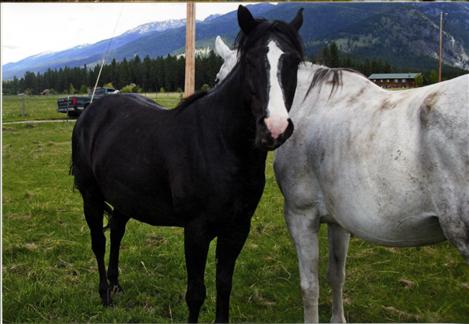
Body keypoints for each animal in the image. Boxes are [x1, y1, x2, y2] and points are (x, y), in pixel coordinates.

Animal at [70, 5, 304, 324]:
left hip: (125, 198)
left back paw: (117, 285)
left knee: (116, 231)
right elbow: (196, 293)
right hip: (91, 196)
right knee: (99, 242)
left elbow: (224, 284)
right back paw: (105, 294)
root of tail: (91, 110)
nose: (275, 128)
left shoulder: (237, 229)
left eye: (294, 61)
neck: (221, 143)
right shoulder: (196, 231)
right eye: (251, 60)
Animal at [215, 36, 468, 322]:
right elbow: (336, 275)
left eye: (218, 78)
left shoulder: (301, 216)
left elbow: (309, 287)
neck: (308, 104)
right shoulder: (339, 221)